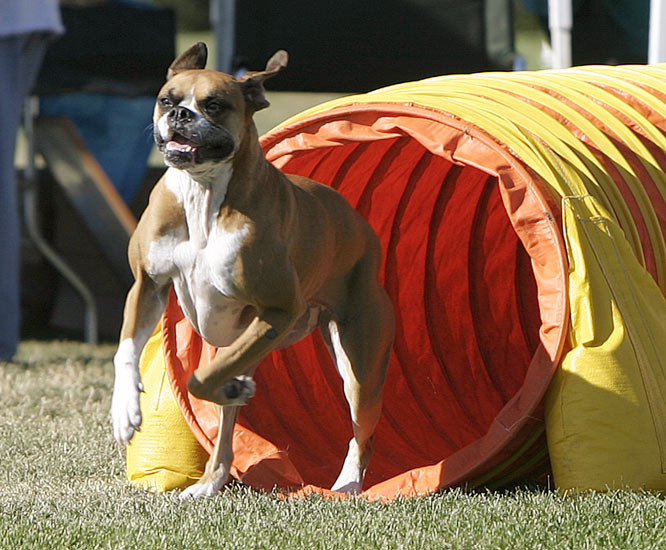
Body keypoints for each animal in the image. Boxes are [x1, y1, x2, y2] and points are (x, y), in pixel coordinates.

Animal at [111, 43, 392, 500]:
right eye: (167, 99)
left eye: (214, 105)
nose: (181, 115)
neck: (203, 194)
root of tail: (361, 227)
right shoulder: (147, 285)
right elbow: (126, 350)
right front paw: (124, 411)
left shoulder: (279, 309)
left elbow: (199, 381)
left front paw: (225, 388)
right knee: (226, 427)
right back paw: (208, 483)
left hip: (358, 366)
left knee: (362, 432)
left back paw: (348, 482)